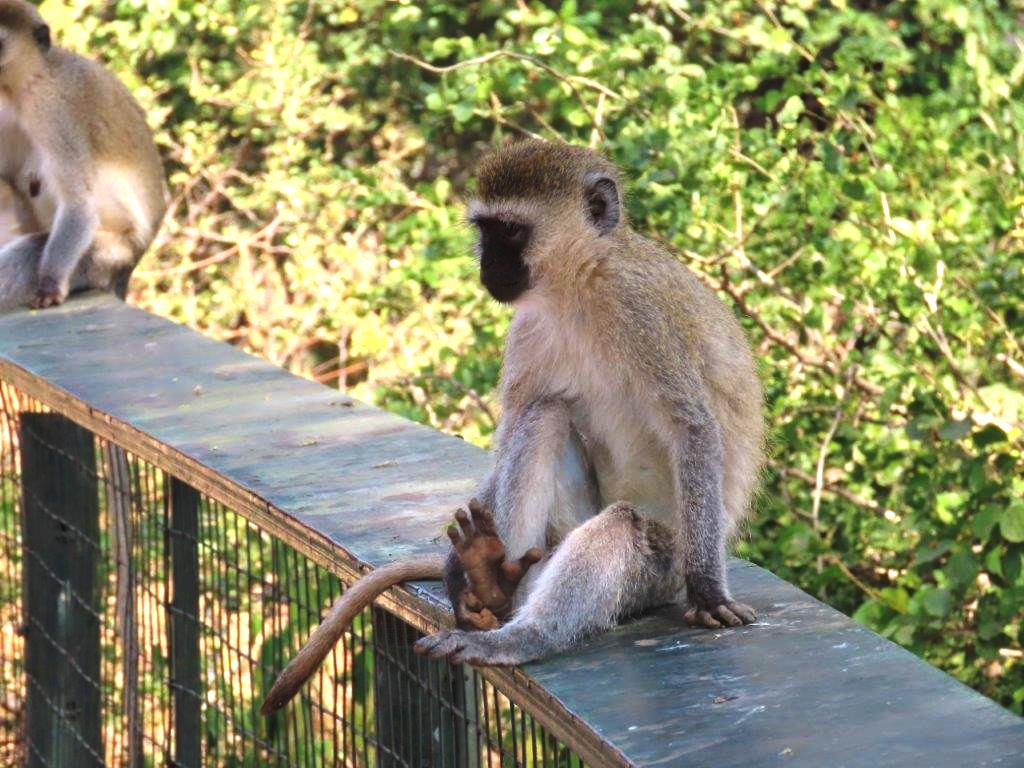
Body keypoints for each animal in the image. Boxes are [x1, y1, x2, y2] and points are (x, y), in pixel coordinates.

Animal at [261, 139, 764, 713]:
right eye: (485, 230)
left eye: (511, 231)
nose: (489, 264)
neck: (577, 288)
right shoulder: (527, 328)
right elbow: (511, 436)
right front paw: (458, 569)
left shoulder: (640, 314)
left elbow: (692, 428)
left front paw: (708, 591)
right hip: (552, 538)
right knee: (544, 415)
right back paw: (490, 580)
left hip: (660, 568)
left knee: (621, 526)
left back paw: (526, 636)